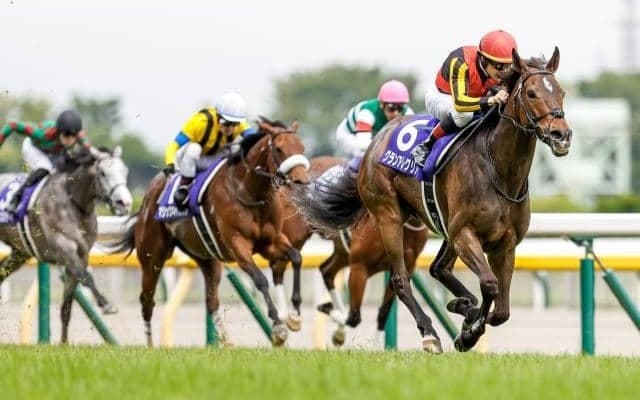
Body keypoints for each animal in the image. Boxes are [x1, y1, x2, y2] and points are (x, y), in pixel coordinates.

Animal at [0, 145, 132, 343]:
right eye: (102, 173)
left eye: (125, 171)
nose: (124, 203)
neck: (73, 203)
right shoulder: (66, 250)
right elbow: (87, 276)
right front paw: (106, 304)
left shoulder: (81, 257)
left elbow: (66, 309)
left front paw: (64, 344)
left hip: (19, 253)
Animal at [105, 118, 311, 346]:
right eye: (279, 148)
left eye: (301, 147)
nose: (302, 181)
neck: (248, 191)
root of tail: (148, 198)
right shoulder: (238, 245)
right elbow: (260, 279)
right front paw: (278, 327)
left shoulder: (271, 242)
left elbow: (296, 257)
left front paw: (295, 317)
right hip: (152, 258)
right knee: (147, 300)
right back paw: (150, 345)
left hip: (207, 259)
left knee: (211, 301)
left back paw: (226, 341)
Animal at [274, 156, 429, 347]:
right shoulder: (359, 267)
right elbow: (354, 316)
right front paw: (328, 310)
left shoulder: (404, 266)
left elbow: (382, 313)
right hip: (294, 236)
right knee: (280, 267)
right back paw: (289, 317)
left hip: (342, 252)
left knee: (326, 270)